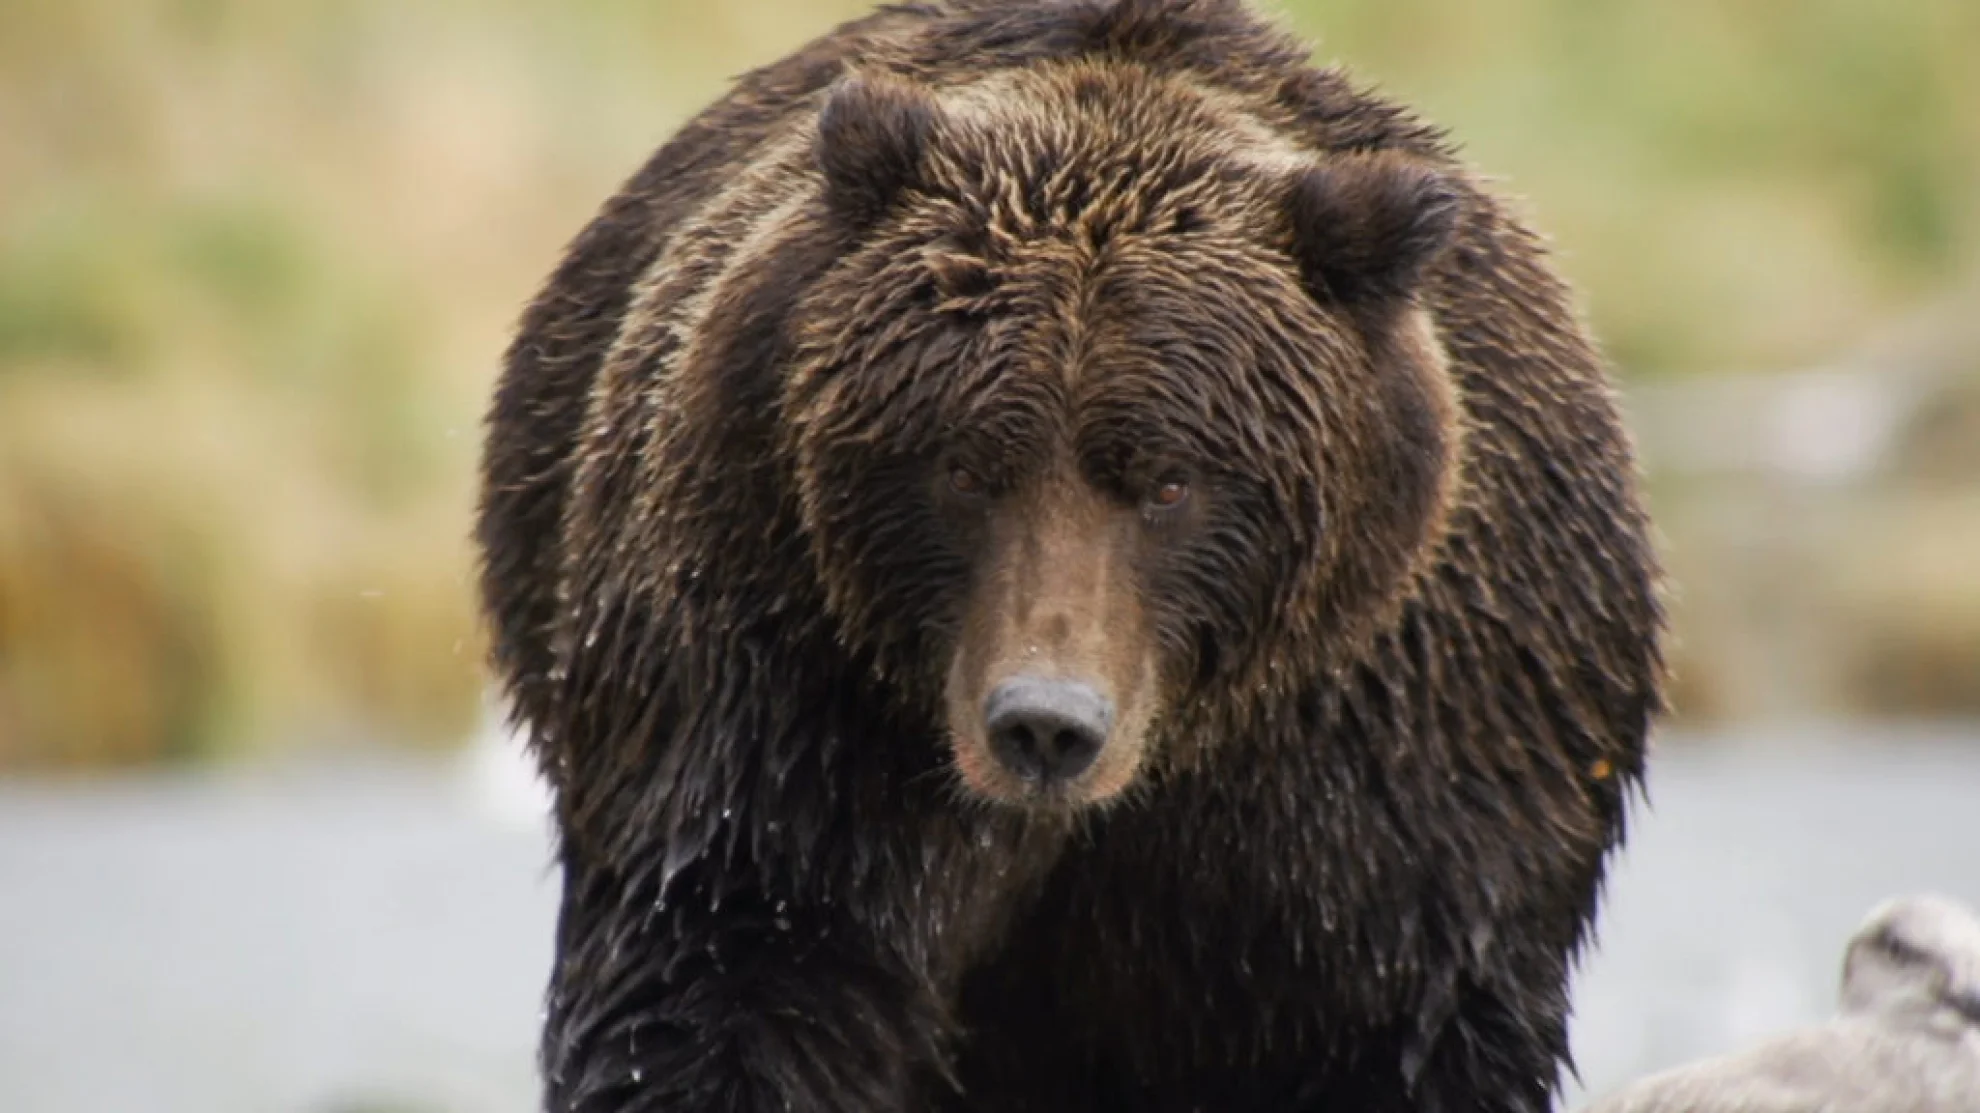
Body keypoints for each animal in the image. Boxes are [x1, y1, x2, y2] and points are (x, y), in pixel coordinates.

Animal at [475, 1, 1666, 1111]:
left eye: (1172, 480)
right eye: (962, 465)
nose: (1045, 724)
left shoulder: (1399, 755)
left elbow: (1398, 1019)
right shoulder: (780, 687)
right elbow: (733, 975)